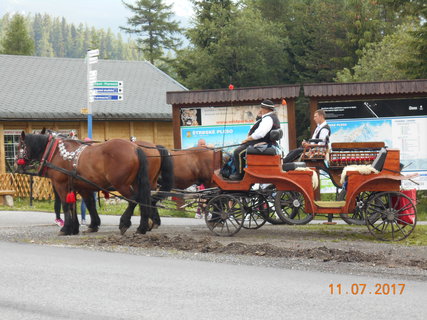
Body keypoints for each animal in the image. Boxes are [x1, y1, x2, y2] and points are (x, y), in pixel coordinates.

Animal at [17, 132, 154, 235]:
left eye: (20, 146)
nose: (16, 165)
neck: (54, 152)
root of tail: (135, 148)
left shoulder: (60, 184)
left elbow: (66, 204)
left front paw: (66, 228)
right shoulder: (79, 186)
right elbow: (84, 204)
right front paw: (83, 226)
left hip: (121, 184)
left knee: (133, 199)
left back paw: (124, 223)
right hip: (136, 182)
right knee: (143, 200)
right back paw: (142, 227)